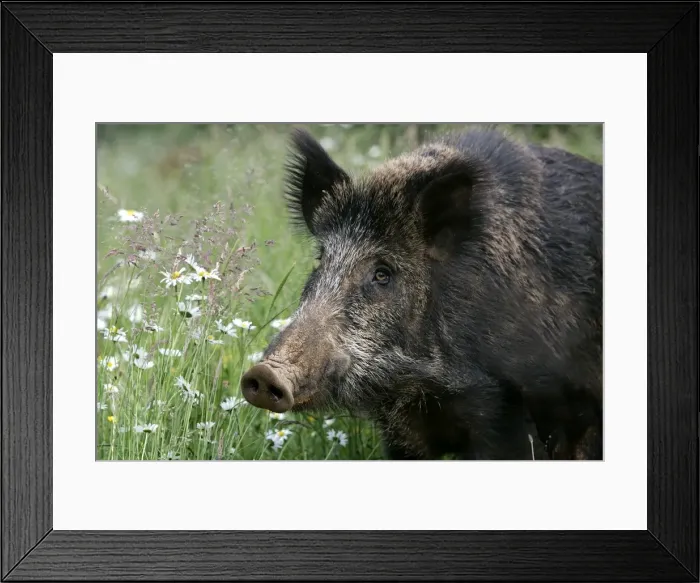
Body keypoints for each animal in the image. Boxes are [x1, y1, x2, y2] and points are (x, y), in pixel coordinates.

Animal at [241, 126, 603, 461]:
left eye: (383, 273)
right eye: (321, 259)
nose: (265, 373)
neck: (423, 383)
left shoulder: (508, 407)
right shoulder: (401, 428)